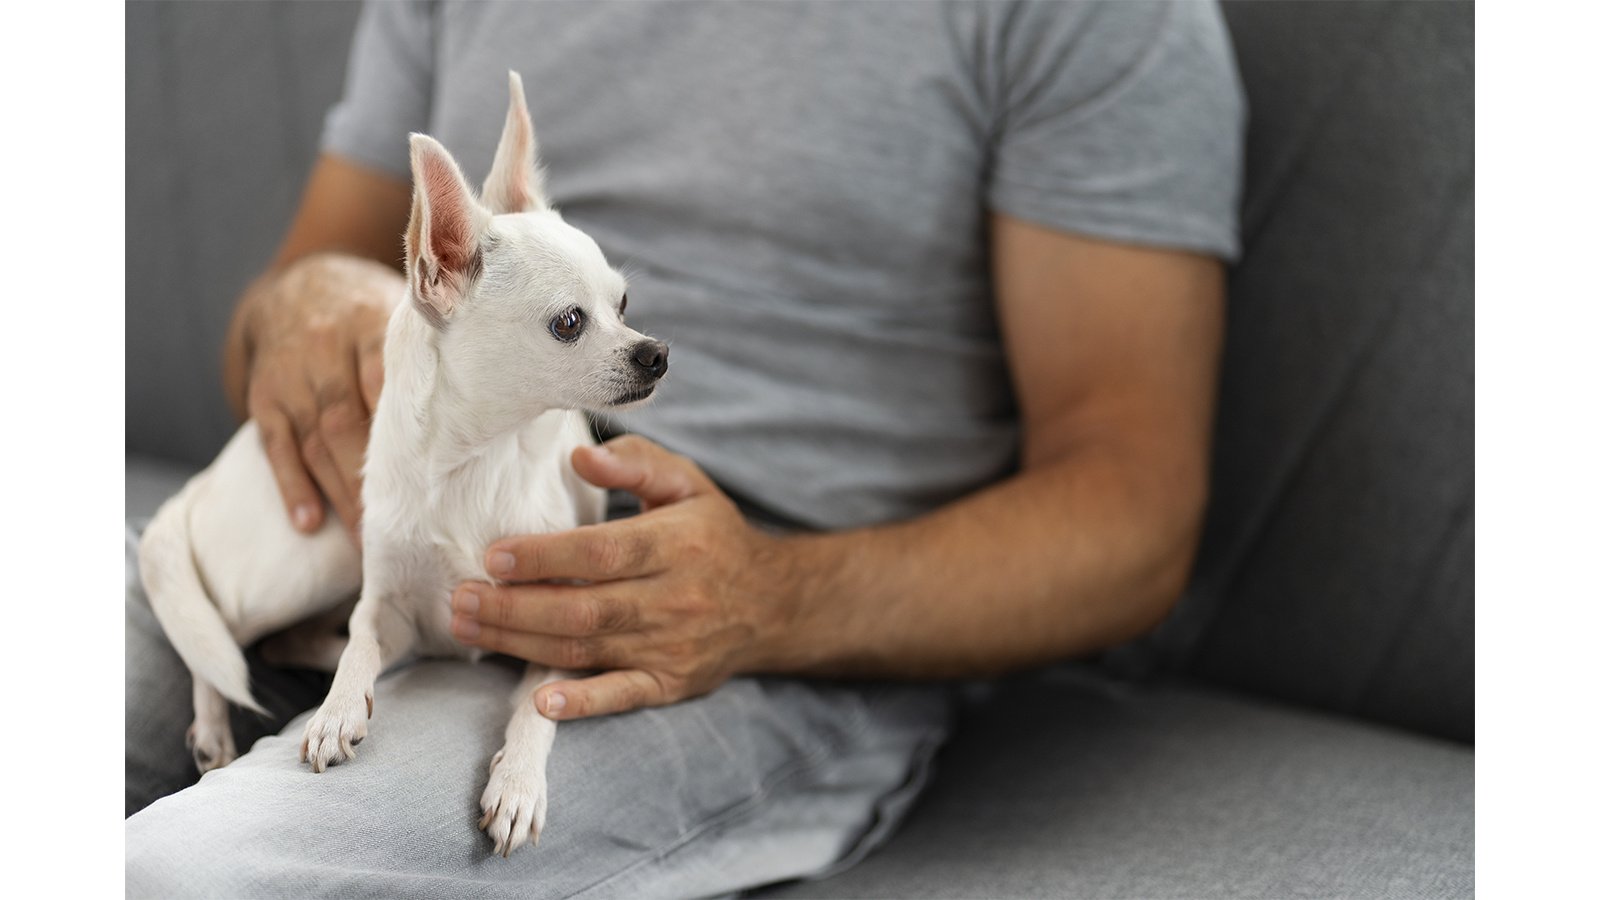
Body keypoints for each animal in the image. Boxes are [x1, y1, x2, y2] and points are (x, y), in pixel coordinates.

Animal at [134, 73, 665, 851]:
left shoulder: (563, 629)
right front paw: (335, 710)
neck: (483, 459)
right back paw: (217, 721)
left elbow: (538, 704)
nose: (657, 353)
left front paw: (516, 784)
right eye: (570, 323)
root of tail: (198, 484)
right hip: (313, 556)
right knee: (224, 635)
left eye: (625, 305)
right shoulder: (379, 590)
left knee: (284, 642)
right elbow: (364, 633)